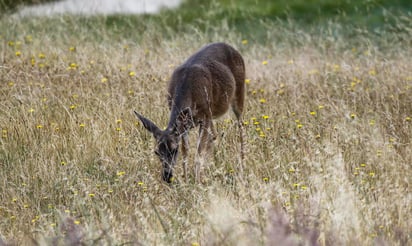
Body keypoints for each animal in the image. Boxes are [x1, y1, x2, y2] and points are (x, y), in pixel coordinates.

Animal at [134, 42, 245, 184]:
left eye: (174, 150)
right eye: (156, 152)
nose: (167, 177)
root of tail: (232, 48)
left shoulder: (205, 117)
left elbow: (198, 152)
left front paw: (197, 182)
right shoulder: (185, 124)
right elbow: (186, 152)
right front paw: (187, 180)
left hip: (239, 93)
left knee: (241, 127)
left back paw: (242, 164)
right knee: (214, 135)